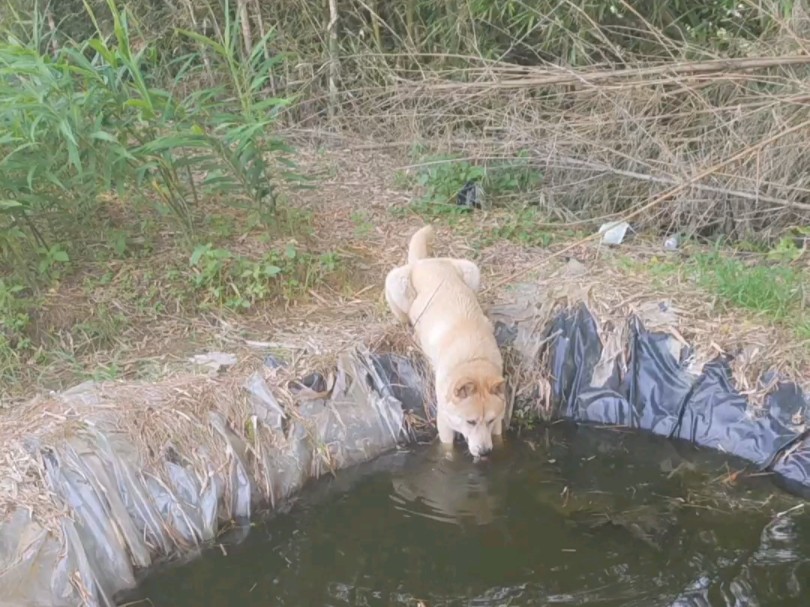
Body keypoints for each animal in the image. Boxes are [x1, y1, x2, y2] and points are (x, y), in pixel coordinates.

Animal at [386, 226, 504, 458]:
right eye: (470, 422)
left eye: (490, 420)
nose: (485, 452)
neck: (473, 358)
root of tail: (424, 262)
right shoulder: (444, 420)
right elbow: (448, 448)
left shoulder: (498, 421)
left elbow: (499, 436)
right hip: (395, 284)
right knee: (405, 318)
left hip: (472, 270)